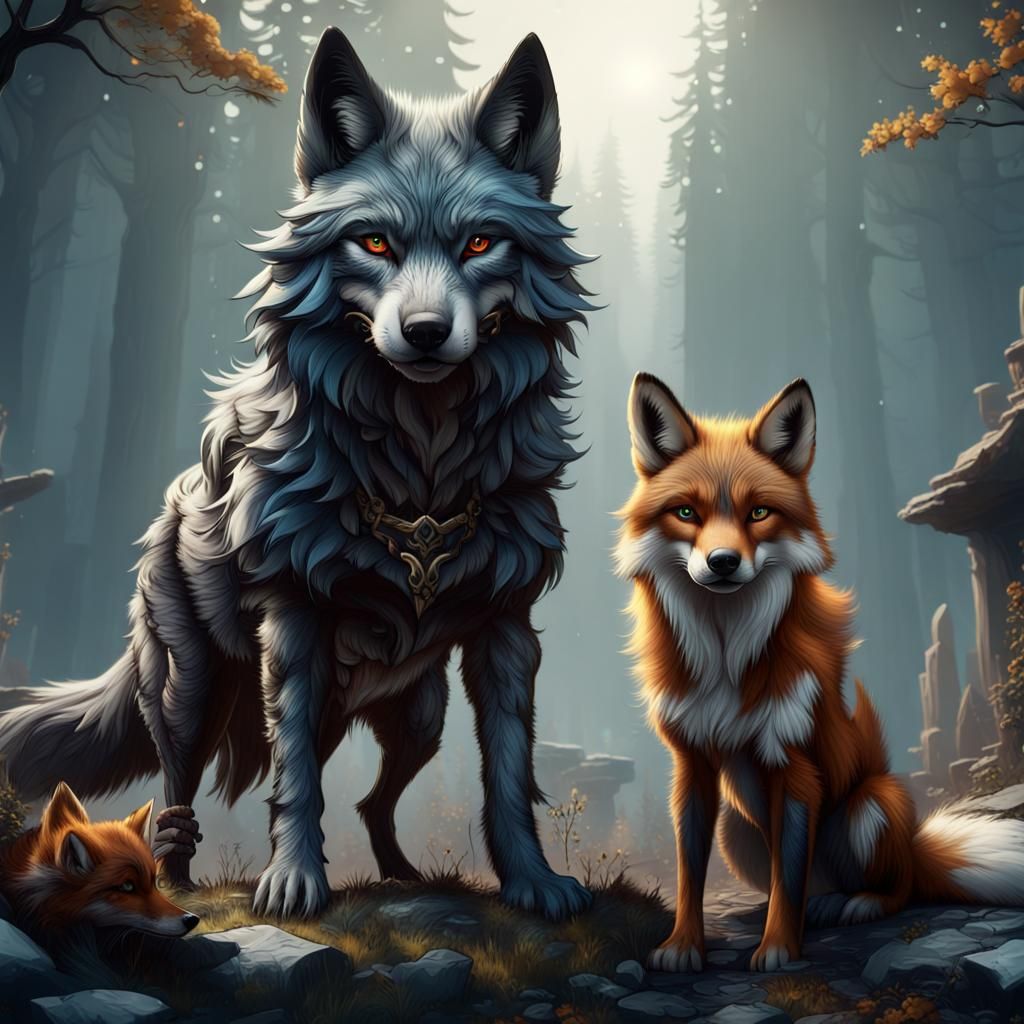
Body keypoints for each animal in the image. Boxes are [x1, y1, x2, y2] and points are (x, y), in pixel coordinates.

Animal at [0, 28, 594, 921]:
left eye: (480, 242)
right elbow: (298, 780)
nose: (425, 332)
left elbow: (510, 773)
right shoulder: (294, 626)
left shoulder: (506, 631)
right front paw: (293, 882)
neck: (422, 465)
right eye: (374, 242)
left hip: (419, 717)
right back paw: (175, 883)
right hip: (192, 693)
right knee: (177, 800)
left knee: (375, 801)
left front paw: (532, 883)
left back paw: (403, 874)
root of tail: (167, 508)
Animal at [614, 372, 1024, 974]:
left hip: (870, 805)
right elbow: (691, 873)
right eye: (686, 513)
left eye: (758, 513)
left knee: (893, 886)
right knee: (798, 883)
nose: (722, 563)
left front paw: (778, 948)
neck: (726, 655)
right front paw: (684, 945)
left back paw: (856, 904)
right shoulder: (691, 764)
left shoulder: (794, 764)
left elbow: (789, 876)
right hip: (736, 830)